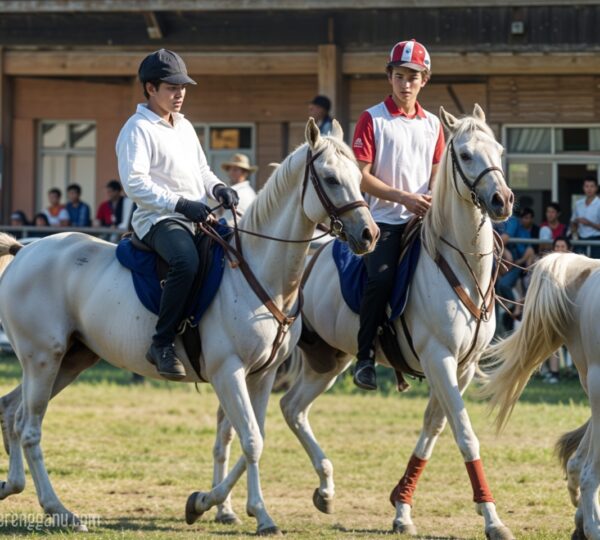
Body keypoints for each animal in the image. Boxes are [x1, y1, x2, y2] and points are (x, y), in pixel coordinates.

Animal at [0, 119, 378, 536]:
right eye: (330, 178)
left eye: (358, 177)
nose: (369, 235)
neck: (258, 272)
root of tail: (25, 250)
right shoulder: (228, 372)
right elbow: (251, 440)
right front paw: (250, 513)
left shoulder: (261, 375)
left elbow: (253, 437)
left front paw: (213, 504)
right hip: (42, 360)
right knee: (30, 429)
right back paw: (60, 510)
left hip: (70, 360)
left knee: (12, 411)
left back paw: (13, 486)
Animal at [211, 104, 516, 536]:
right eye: (466, 154)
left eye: (500, 151)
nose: (501, 199)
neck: (460, 263)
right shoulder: (439, 359)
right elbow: (465, 434)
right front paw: (491, 518)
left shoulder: (463, 366)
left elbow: (433, 429)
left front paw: (402, 507)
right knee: (242, 425)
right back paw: (220, 501)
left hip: (326, 360)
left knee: (288, 409)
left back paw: (309, 490)